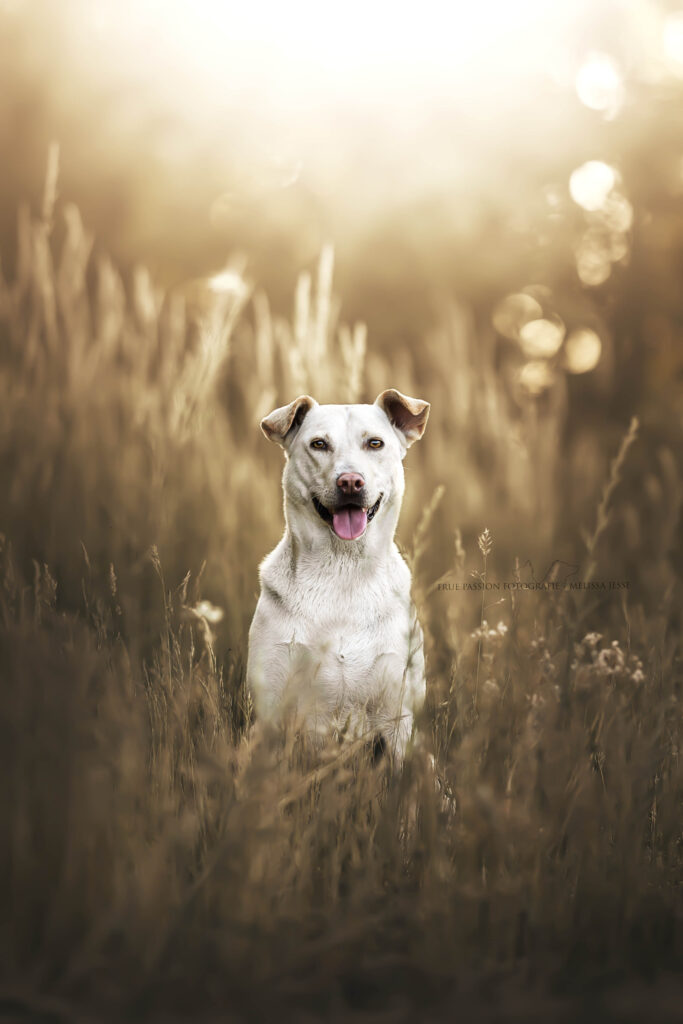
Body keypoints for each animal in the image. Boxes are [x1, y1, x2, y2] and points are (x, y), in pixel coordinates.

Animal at [244, 387, 428, 765]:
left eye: (375, 443)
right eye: (319, 444)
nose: (350, 482)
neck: (343, 569)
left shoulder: (398, 718)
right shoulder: (272, 713)